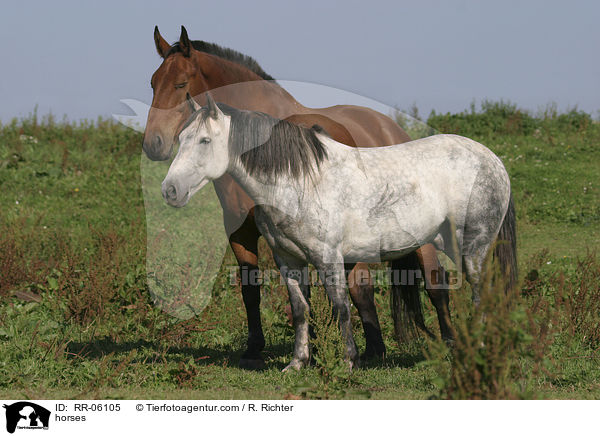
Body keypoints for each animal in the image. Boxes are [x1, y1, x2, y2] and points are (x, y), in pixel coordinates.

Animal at [145, 26, 452, 368]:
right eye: (153, 83)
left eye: (181, 84)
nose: (153, 143)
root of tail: (389, 126)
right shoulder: (244, 233)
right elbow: (258, 291)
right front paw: (264, 349)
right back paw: (373, 350)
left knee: (432, 284)